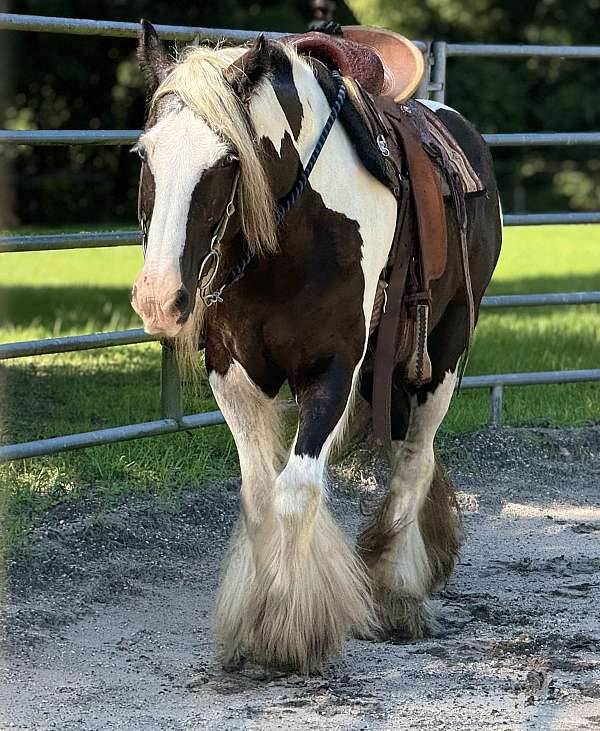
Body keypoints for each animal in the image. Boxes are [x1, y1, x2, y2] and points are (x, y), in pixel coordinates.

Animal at [130, 22, 502, 676]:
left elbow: (296, 492)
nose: (158, 298)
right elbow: (259, 495)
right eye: (146, 154)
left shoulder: (331, 370)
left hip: (446, 349)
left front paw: (288, 630)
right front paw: (253, 621)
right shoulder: (233, 372)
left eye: (229, 159)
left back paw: (396, 592)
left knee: (415, 459)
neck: (293, 234)